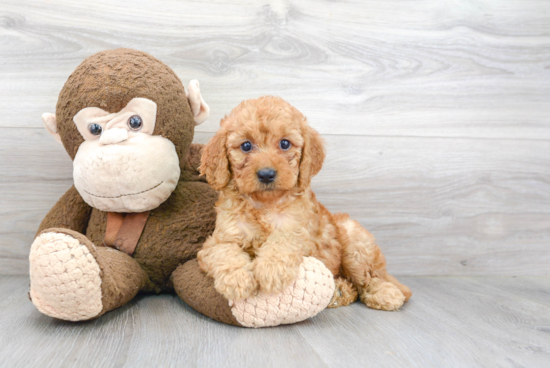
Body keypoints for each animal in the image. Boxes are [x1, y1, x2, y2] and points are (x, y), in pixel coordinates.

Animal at [197, 95, 410, 310]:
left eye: (285, 143)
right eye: (246, 146)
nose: (266, 174)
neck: (264, 204)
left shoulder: (300, 232)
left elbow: (283, 240)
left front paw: (271, 270)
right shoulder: (217, 240)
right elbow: (224, 251)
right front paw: (237, 279)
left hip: (354, 241)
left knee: (369, 278)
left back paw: (385, 293)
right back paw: (339, 292)